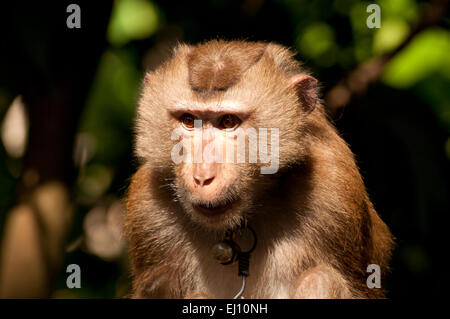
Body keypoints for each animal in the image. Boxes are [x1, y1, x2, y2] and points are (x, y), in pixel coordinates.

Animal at [124, 40, 394, 300]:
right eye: (189, 120)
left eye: (228, 121)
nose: (202, 177)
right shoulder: (148, 208)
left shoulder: (334, 188)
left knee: (320, 279)